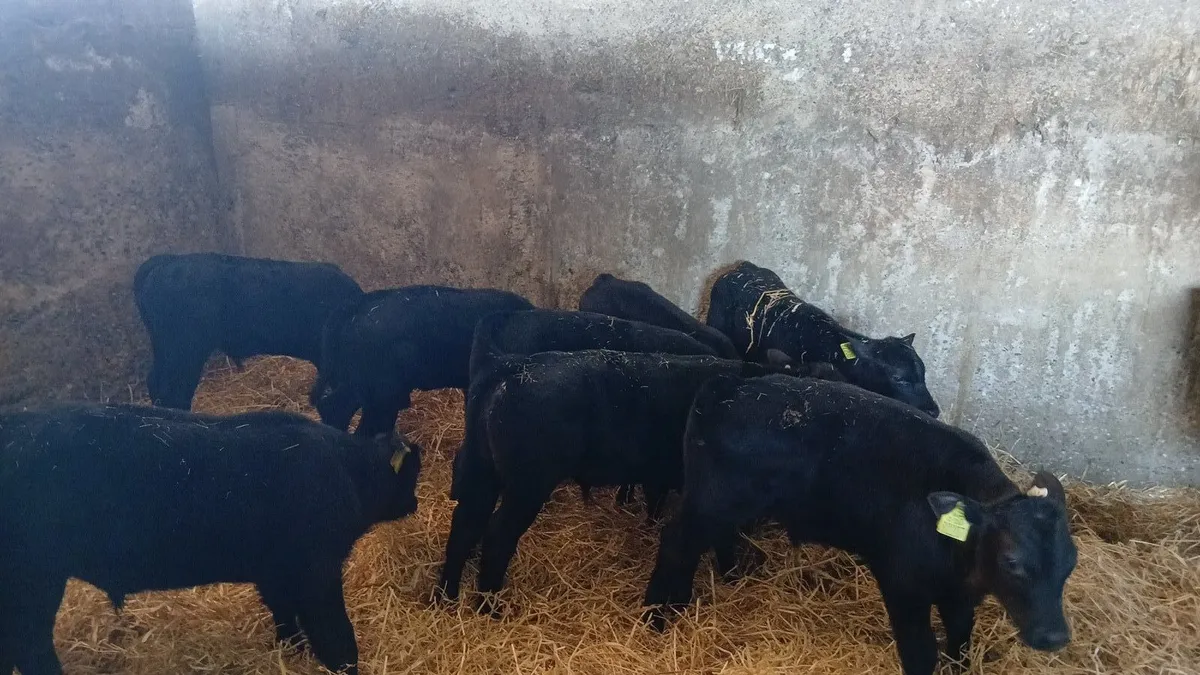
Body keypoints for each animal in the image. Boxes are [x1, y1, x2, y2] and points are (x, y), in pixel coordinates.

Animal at [0, 404, 422, 675]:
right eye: (412, 474)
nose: (415, 503)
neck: (348, 473)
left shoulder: (275, 572)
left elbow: (284, 614)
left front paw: (291, 651)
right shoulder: (316, 573)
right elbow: (337, 639)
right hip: (33, 579)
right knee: (30, 645)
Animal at [434, 350, 841, 614]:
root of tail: (510, 369)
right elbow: (722, 538)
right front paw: (733, 577)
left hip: (483, 469)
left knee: (465, 524)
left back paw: (446, 597)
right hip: (527, 483)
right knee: (496, 535)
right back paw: (489, 607)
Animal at [643, 374, 1076, 675]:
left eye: (1071, 563)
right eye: (1012, 562)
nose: (1055, 636)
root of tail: (729, 385)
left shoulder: (958, 597)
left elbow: (960, 642)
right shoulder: (903, 585)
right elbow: (921, 653)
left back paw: (722, 582)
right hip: (710, 500)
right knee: (677, 543)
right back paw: (658, 616)